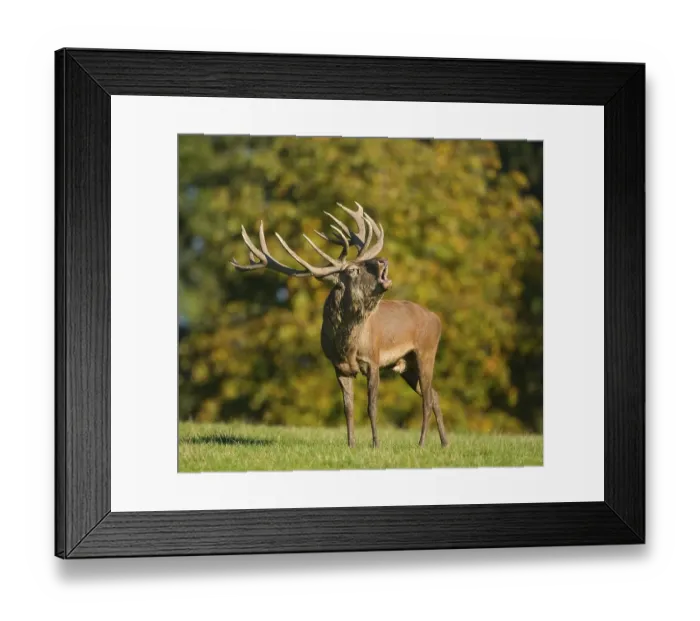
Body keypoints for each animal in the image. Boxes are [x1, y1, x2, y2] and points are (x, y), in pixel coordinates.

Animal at [231, 202, 449, 449]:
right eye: (353, 270)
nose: (383, 260)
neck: (347, 346)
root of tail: (437, 319)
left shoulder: (373, 360)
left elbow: (372, 406)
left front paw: (376, 444)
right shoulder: (339, 367)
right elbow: (348, 408)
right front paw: (351, 444)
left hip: (426, 351)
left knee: (428, 398)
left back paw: (422, 443)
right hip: (405, 365)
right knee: (434, 395)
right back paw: (444, 442)